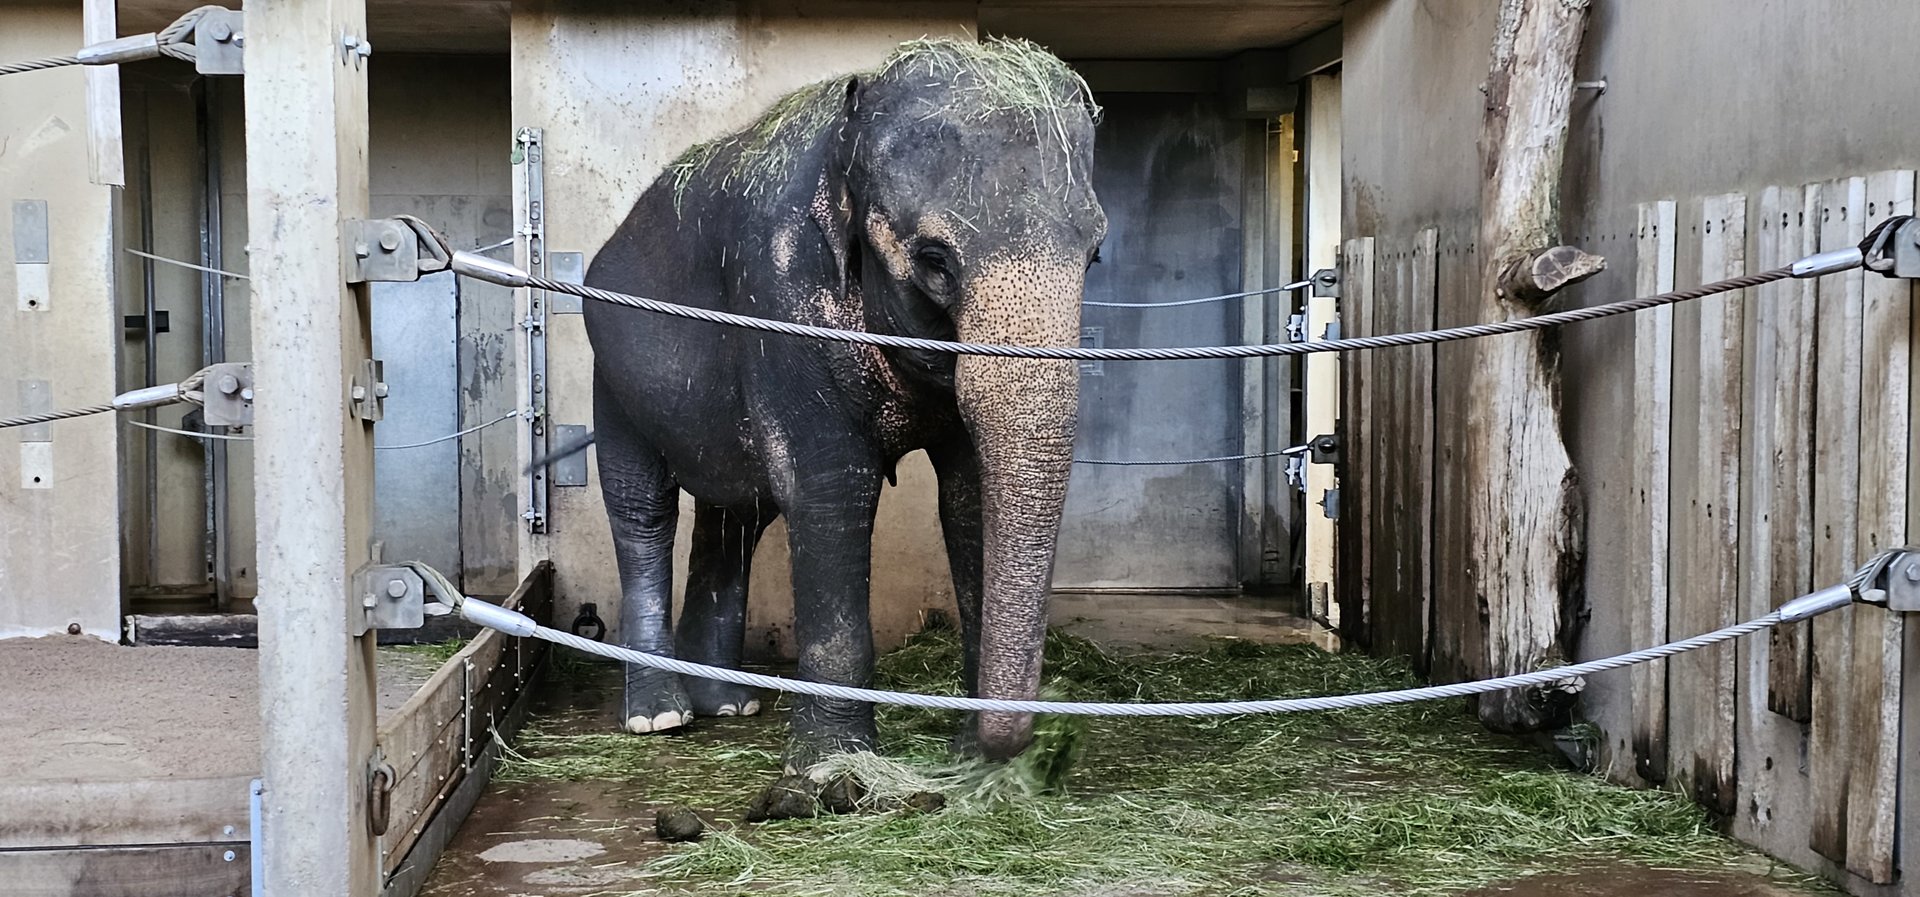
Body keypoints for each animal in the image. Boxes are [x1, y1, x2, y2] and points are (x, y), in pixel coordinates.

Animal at [580, 37, 1105, 774]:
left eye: (1095, 255)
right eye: (935, 260)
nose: (1004, 745)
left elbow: (968, 494)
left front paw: (969, 756)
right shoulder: (779, 289)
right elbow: (830, 483)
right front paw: (832, 763)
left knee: (735, 516)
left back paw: (729, 704)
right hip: (612, 374)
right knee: (644, 511)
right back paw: (660, 715)